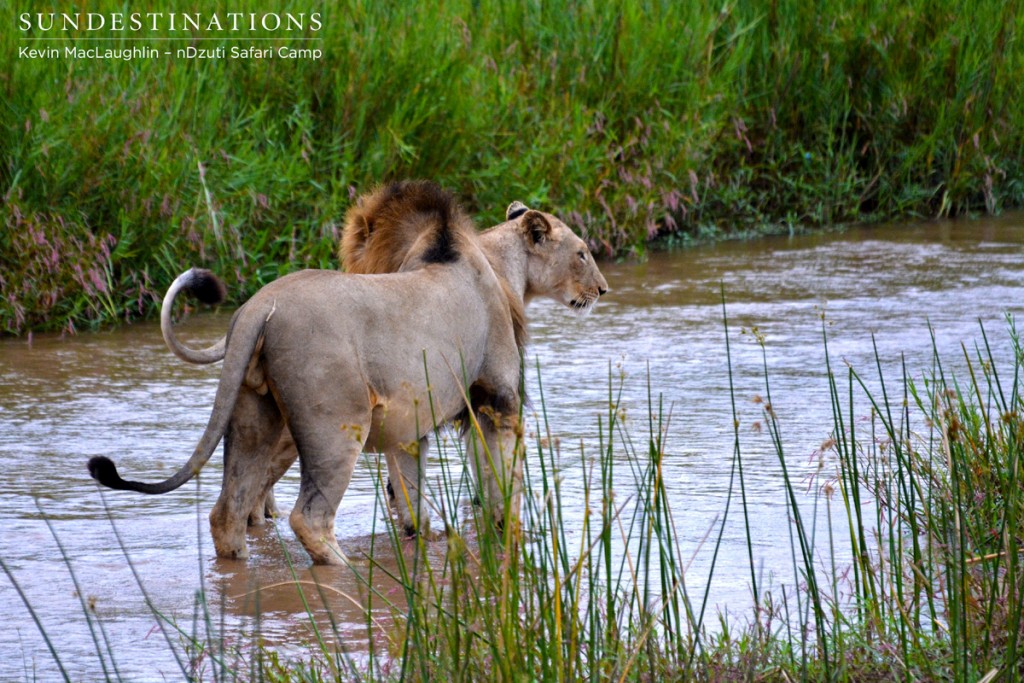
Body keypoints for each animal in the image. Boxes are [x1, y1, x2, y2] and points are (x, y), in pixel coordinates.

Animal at [90, 181, 606, 565]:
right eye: (583, 252)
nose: (602, 289)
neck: (500, 270)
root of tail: (258, 307)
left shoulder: (408, 425)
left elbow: (413, 501)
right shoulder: (496, 400)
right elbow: (502, 486)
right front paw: (509, 537)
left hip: (255, 416)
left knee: (228, 512)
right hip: (337, 425)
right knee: (309, 518)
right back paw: (346, 570)